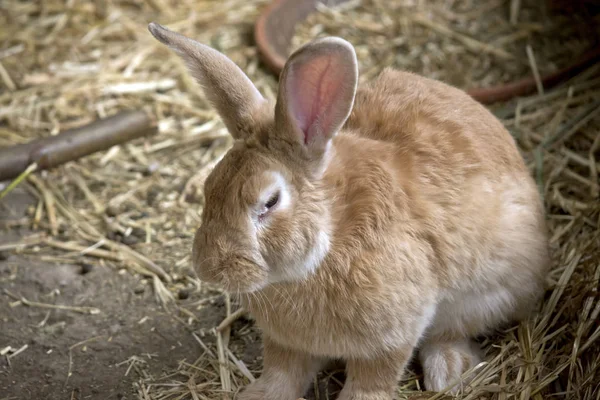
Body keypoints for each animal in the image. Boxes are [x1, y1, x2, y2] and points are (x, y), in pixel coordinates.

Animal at [148, 22, 552, 400]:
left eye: (270, 202)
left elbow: (374, 377)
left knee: (452, 332)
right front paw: (258, 395)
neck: (332, 234)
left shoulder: (393, 335)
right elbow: (282, 370)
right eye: (209, 187)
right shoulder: (287, 342)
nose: (207, 269)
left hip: (488, 295)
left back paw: (449, 370)